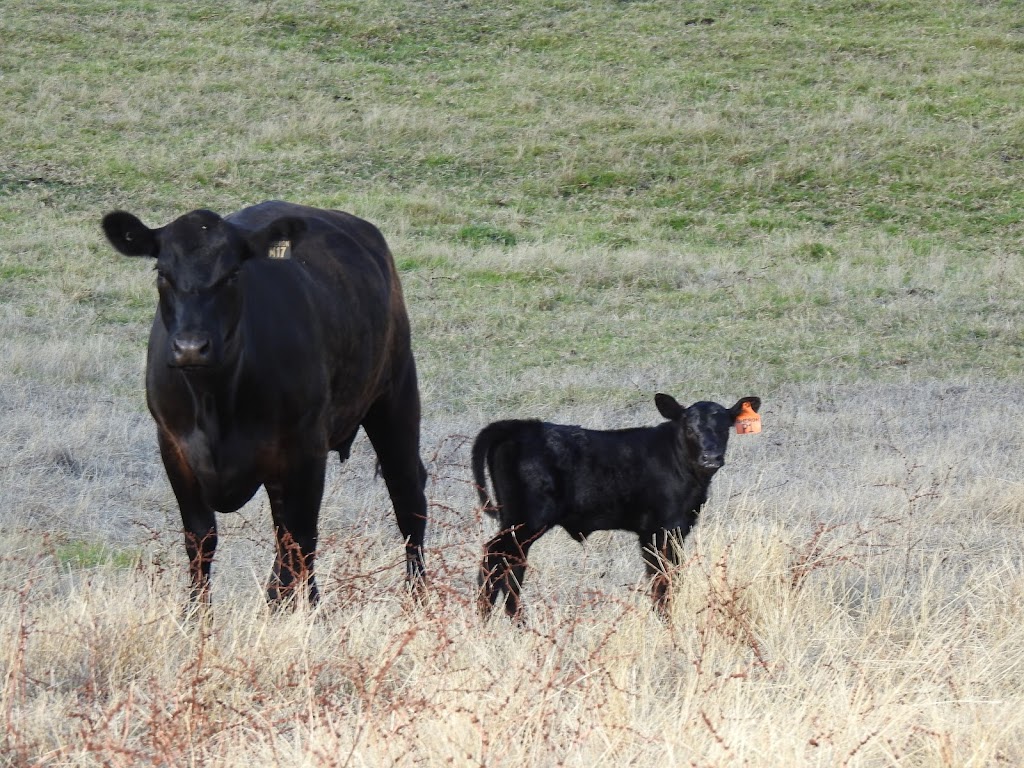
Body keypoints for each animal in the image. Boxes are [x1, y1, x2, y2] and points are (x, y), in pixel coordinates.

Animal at [100, 201, 428, 610]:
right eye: (162, 273)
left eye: (232, 274)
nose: (191, 347)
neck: (215, 404)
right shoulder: (173, 446)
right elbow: (200, 538)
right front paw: (195, 614)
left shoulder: (305, 447)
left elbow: (300, 539)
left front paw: (295, 612)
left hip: (395, 394)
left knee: (407, 494)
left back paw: (418, 596)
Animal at [473, 397, 761, 618]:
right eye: (690, 427)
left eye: (725, 428)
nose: (711, 457)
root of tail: (518, 425)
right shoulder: (659, 530)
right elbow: (661, 579)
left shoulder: (675, 530)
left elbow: (671, 577)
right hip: (525, 519)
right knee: (495, 557)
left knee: (511, 564)